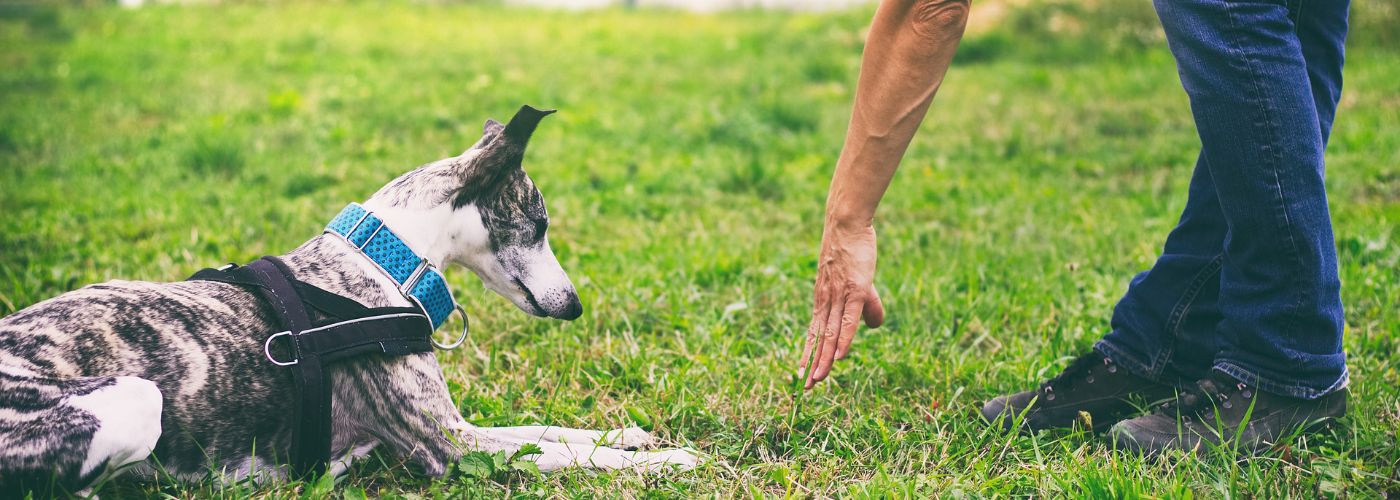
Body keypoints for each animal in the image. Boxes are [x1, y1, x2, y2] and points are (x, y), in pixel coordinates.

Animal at [0, 105, 700, 495]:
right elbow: (567, 456)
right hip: (133, 400)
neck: (382, 261)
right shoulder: (450, 447)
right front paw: (667, 463)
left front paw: (631, 436)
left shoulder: (461, 428)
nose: (575, 305)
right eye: (540, 222)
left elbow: (550, 431)